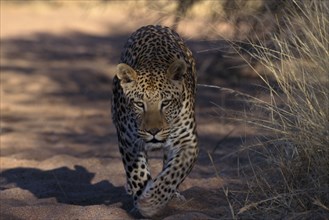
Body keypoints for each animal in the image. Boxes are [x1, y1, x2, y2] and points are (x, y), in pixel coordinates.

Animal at [111, 24, 197, 217]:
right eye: (139, 104)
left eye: (165, 103)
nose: (153, 132)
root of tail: (152, 26)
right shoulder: (129, 141)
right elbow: (138, 174)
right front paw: (142, 202)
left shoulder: (188, 142)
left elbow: (174, 173)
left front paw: (151, 203)